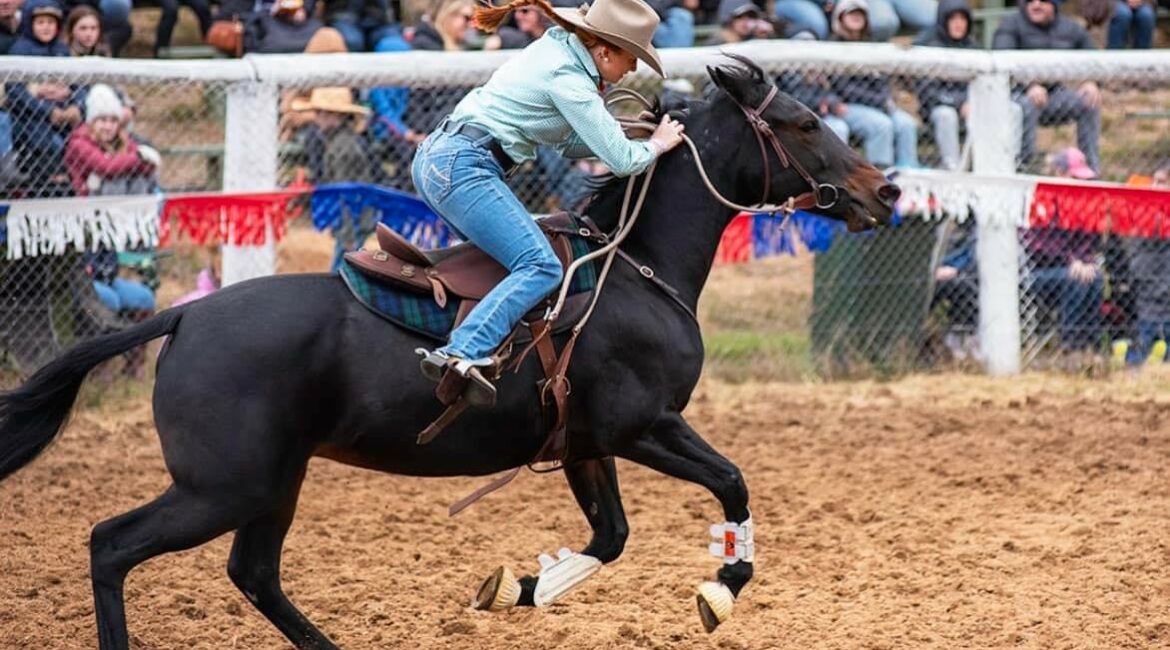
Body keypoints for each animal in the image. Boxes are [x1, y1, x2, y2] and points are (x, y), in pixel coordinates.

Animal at [0, 56, 893, 650]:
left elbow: (610, 535)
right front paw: (720, 589)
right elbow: (732, 483)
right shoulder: (644, 426)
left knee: (253, 573)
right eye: (805, 122)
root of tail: (181, 322)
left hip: (272, 482)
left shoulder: (585, 443)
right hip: (223, 484)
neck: (637, 268)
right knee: (113, 544)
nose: (882, 191)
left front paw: (517, 587)